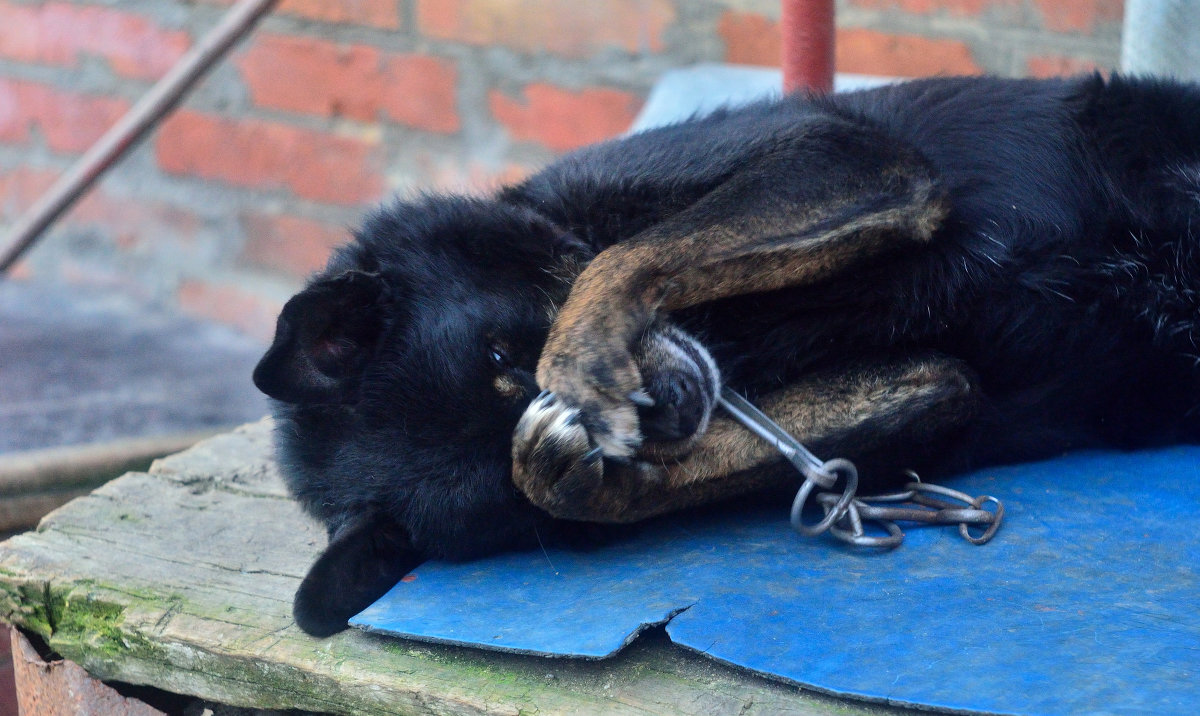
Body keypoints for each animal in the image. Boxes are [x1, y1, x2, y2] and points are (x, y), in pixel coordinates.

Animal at [250, 75, 1200, 633]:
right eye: (503, 491)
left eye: (508, 356)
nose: (670, 410)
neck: (738, 338)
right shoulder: (933, 389)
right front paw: (570, 476)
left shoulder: (850, 155)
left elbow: (617, 257)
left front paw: (585, 349)